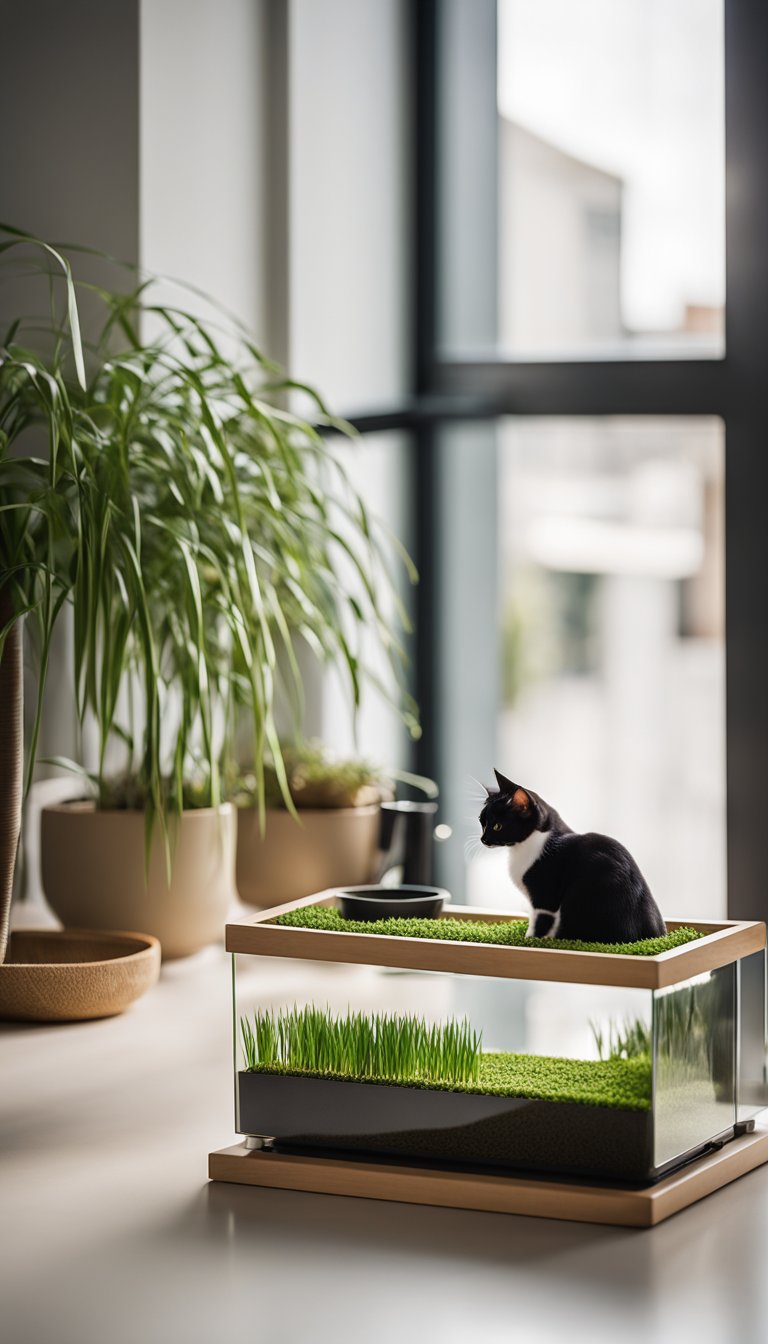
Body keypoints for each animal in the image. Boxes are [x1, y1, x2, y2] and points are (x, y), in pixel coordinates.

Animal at [481, 768, 667, 946]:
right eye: (482, 823)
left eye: (497, 826)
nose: (483, 839)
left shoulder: (545, 895)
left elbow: (539, 921)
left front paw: (531, 940)